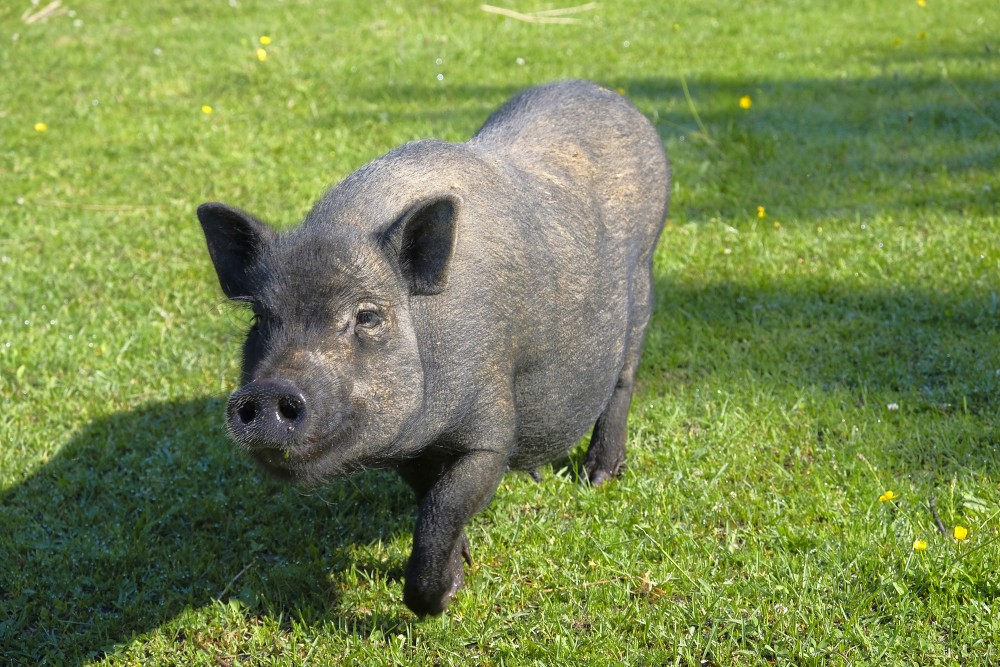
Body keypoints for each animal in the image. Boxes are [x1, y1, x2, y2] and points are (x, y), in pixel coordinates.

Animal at [197, 79, 670, 616]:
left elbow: (445, 503)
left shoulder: (491, 429)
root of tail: (613, 97)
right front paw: (459, 570)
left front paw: (439, 599)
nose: (267, 391)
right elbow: (429, 498)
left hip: (643, 281)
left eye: (367, 315)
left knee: (623, 382)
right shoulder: (408, 443)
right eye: (259, 317)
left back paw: (599, 478)